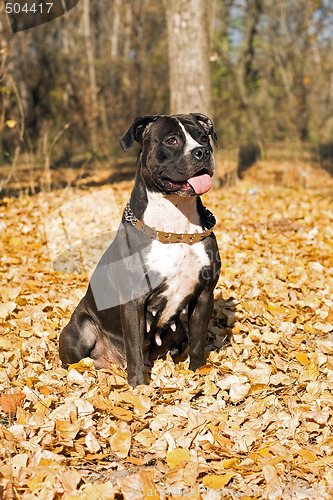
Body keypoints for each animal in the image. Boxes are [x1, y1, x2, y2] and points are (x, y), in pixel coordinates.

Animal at [59, 112, 220, 386]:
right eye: (171, 140)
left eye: (203, 137)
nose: (202, 151)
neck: (176, 227)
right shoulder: (133, 301)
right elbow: (134, 347)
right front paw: (138, 387)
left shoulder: (204, 294)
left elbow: (198, 342)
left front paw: (197, 374)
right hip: (80, 332)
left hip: (178, 334)